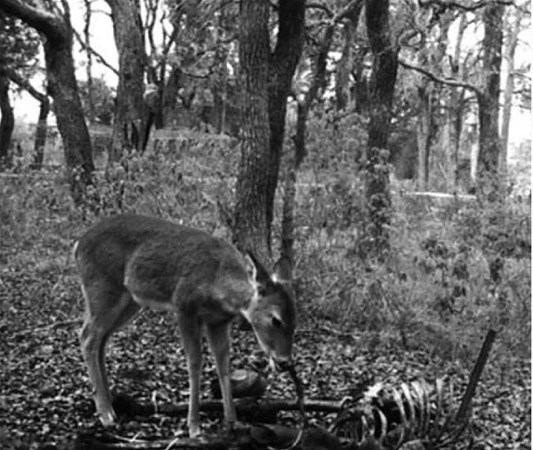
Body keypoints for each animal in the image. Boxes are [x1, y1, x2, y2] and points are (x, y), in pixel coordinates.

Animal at [73, 213, 296, 438]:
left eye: (295, 321)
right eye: (276, 319)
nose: (285, 362)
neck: (218, 283)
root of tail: (78, 244)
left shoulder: (218, 321)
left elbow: (223, 364)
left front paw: (232, 421)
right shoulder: (184, 306)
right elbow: (195, 362)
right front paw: (194, 427)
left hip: (129, 301)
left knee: (101, 339)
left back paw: (111, 406)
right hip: (103, 288)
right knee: (87, 337)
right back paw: (106, 415)